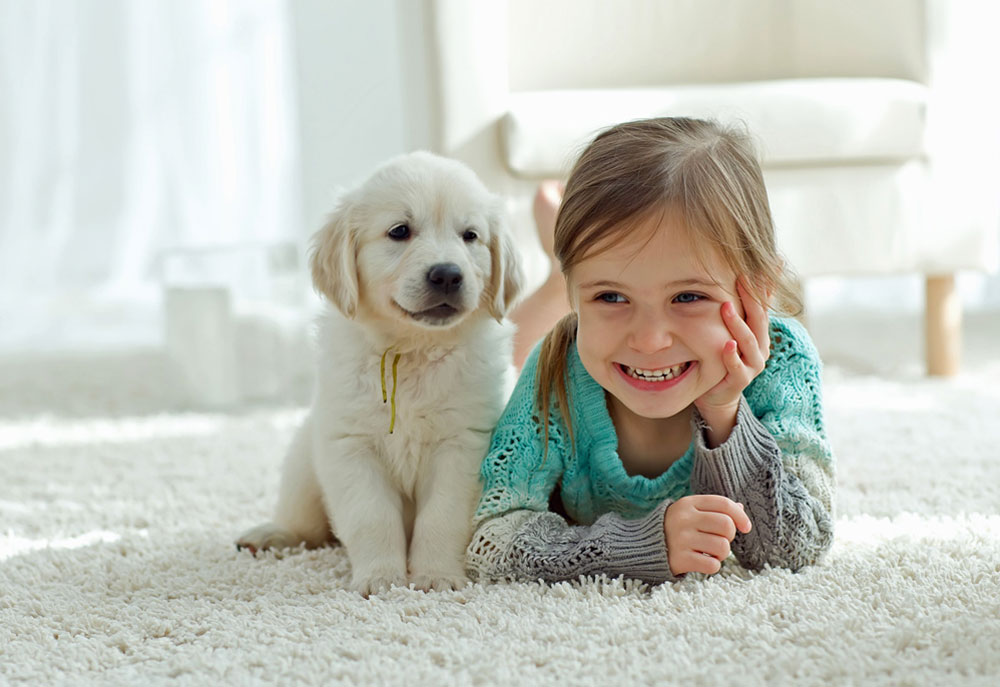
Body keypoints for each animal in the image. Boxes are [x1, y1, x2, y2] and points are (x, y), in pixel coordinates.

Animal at [239, 152, 528, 596]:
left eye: (470, 236)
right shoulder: (350, 446)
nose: (448, 274)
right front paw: (381, 578)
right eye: (399, 231)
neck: (412, 350)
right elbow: (371, 517)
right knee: (305, 525)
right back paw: (270, 534)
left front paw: (435, 575)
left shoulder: (463, 446)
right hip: (304, 464)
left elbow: (441, 517)